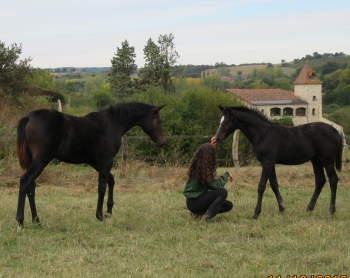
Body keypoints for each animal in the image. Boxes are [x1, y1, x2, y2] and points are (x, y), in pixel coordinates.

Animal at [15, 102, 165, 228]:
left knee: (31, 187)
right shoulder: (106, 161)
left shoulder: (95, 162)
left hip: (32, 161)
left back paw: (36, 220)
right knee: (25, 181)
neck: (111, 124)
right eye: (159, 121)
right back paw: (20, 221)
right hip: (41, 160)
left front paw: (108, 212)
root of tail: (28, 117)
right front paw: (99, 216)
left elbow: (111, 180)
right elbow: (102, 187)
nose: (162, 142)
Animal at [213, 106, 342, 219]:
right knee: (320, 180)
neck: (263, 134)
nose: (217, 138)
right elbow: (274, 184)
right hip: (316, 160)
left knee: (333, 180)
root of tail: (335, 131)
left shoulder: (268, 162)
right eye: (220, 121)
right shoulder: (270, 163)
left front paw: (256, 213)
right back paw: (309, 208)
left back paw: (330, 211)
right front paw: (281, 210)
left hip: (327, 160)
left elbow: (261, 186)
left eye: (228, 122)